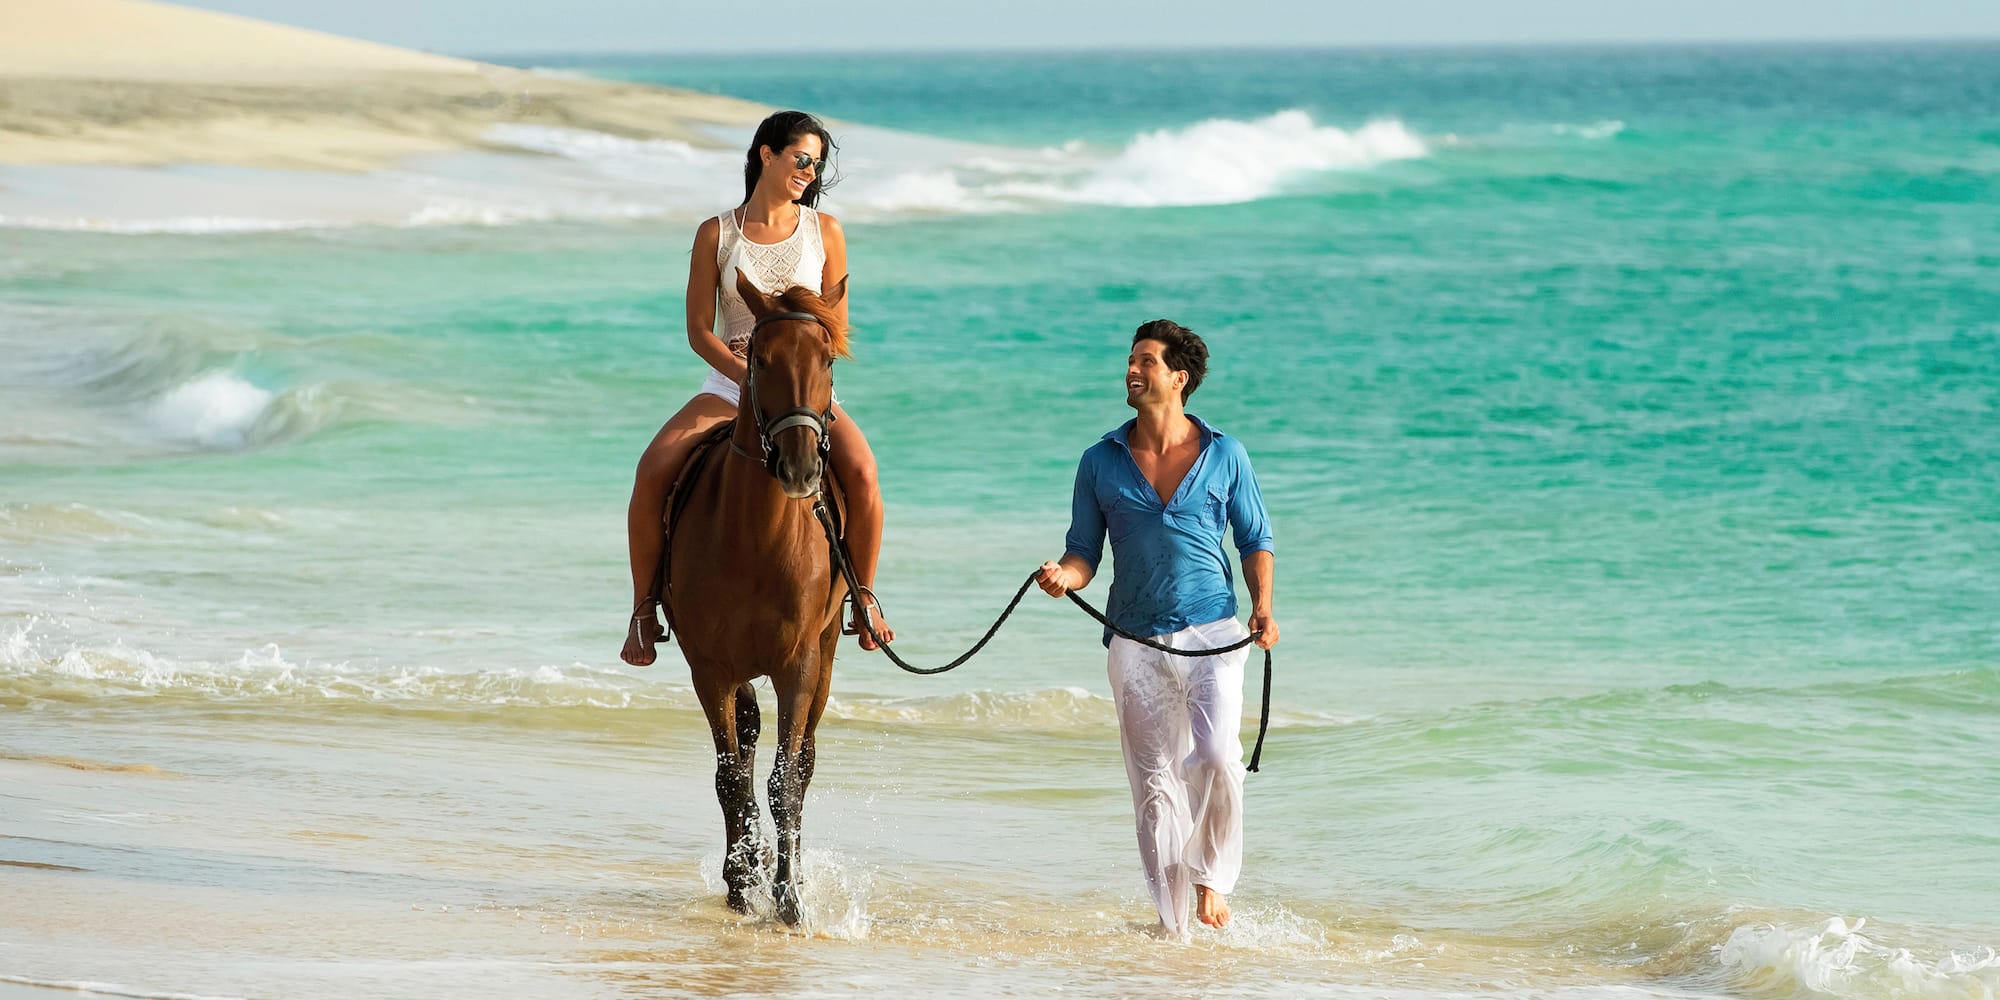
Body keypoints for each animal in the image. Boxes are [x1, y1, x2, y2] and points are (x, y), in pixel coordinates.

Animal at [664, 270, 851, 926]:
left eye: (828, 359)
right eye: (761, 360)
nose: (799, 469)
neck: (757, 538)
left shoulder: (799, 664)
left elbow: (784, 781)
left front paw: (790, 901)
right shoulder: (710, 670)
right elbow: (731, 779)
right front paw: (744, 882)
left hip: (827, 653)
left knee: (803, 758)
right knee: (743, 744)